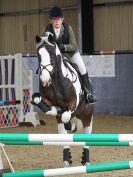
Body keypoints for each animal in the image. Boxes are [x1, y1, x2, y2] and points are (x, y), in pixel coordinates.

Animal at [31, 32, 94, 167]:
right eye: (38, 55)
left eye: (52, 54)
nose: (44, 79)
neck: (55, 80)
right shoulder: (46, 101)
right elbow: (41, 103)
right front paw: (57, 111)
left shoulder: (73, 103)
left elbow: (66, 115)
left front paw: (71, 124)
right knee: (63, 132)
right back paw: (67, 159)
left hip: (87, 114)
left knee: (86, 132)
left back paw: (85, 160)